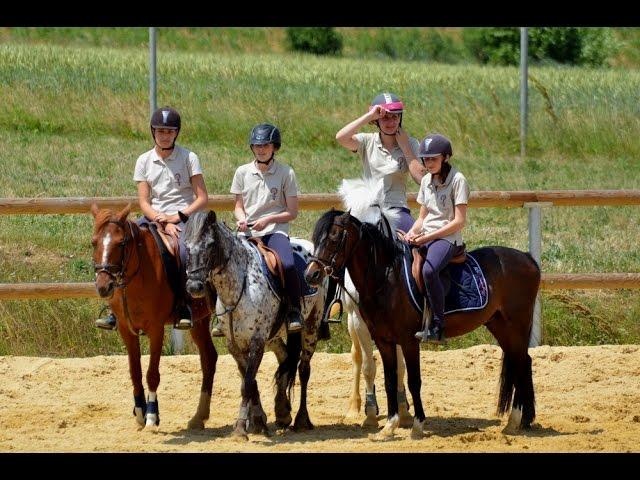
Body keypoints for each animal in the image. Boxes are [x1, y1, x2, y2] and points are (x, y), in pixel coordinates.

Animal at [90, 202, 218, 432]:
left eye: (121, 242)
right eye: (94, 242)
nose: (104, 286)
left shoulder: (156, 329)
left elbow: (152, 374)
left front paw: (151, 416)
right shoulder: (126, 330)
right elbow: (135, 372)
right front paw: (140, 413)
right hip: (199, 322)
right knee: (209, 358)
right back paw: (199, 417)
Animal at [182, 212, 328, 440]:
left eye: (211, 244)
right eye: (186, 246)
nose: (194, 286)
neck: (239, 287)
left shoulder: (257, 341)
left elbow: (248, 384)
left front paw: (241, 428)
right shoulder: (234, 344)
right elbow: (248, 381)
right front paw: (258, 421)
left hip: (311, 326)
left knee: (304, 369)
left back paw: (301, 419)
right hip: (275, 334)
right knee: (286, 358)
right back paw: (282, 411)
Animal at [304, 179, 540, 438]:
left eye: (335, 237)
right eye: (316, 237)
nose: (311, 274)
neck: (387, 277)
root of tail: (527, 258)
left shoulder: (409, 339)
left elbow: (413, 380)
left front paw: (417, 424)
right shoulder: (384, 340)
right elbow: (389, 378)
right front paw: (389, 425)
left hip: (517, 324)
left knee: (521, 362)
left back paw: (515, 420)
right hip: (500, 325)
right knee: (521, 362)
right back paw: (521, 420)